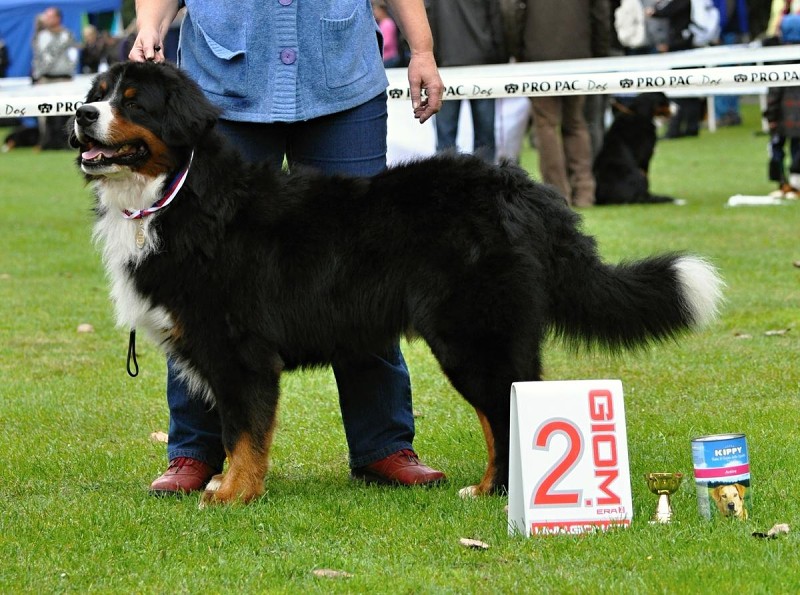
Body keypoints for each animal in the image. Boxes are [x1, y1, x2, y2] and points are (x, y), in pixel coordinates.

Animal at [72, 61, 724, 508]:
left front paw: (232, 493)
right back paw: (486, 490)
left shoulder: (240, 353)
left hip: (472, 336)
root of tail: (516, 186)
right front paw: (221, 486)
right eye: (97, 93)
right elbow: (234, 432)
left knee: (506, 411)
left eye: (133, 101)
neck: (176, 194)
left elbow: (244, 433)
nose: (80, 115)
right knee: (500, 416)